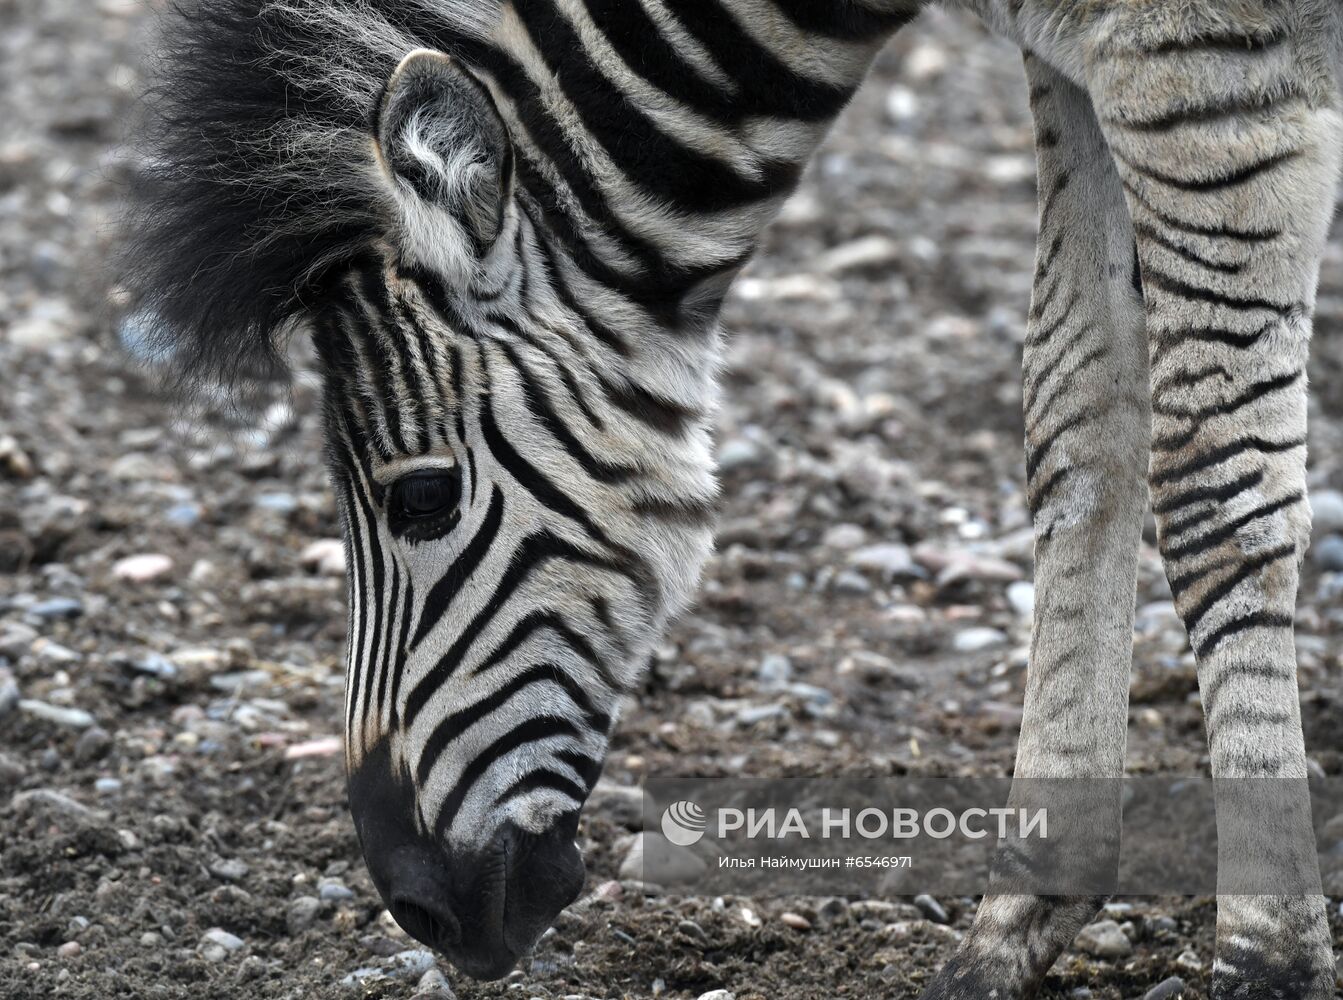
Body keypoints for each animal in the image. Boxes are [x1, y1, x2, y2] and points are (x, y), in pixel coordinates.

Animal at [120, 0, 1337, 993]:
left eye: (423, 500)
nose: (418, 909)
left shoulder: (1204, 70)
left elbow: (1211, 476)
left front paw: (1267, 954)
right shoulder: (1077, 67)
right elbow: (1080, 416)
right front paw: (1020, 913)